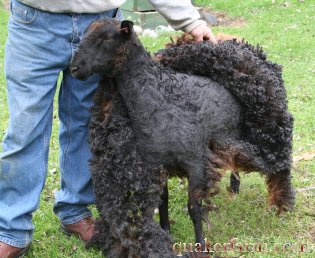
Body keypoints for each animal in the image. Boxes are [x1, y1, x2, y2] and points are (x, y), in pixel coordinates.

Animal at [69, 19, 296, 256]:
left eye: (105, 39)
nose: (74, 69)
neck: (159, 99)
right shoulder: (158, 165)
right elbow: (163, 204)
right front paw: (167, 233)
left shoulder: (195, 163)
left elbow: (194, 209)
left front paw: (201, 246)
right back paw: (235, 187)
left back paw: (273, 200)